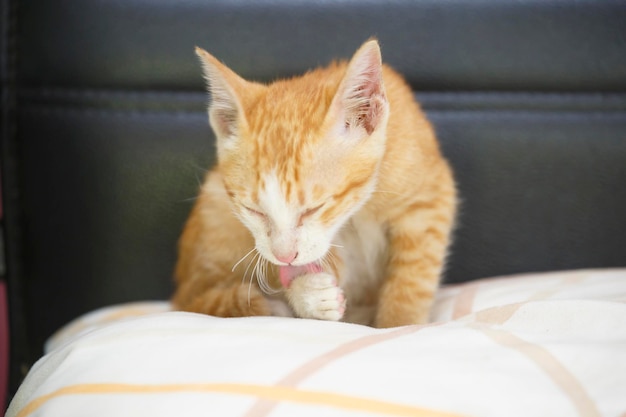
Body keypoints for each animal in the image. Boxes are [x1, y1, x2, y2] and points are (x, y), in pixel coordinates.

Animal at [171, 39, 454, 326]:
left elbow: (413, 277)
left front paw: (398, 323)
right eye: (254, 211)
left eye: (313, 209)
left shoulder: (429, 198)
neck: (359, 208)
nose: (284, 256)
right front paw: (310, 295)